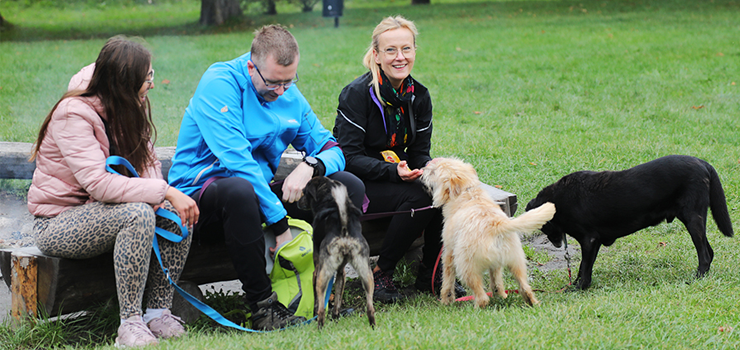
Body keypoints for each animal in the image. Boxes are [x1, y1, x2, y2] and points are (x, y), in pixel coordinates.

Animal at [298, 178, 376, 328]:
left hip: (322, 275)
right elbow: (338, 301)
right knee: (370, 307)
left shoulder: (316, 271)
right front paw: (335, 318)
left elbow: (318, 301)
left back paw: (319, 327)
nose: (298, 202)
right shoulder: (341, 272)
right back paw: (373, 327)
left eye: (304, 191)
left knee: (321, 309)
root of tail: (344, 229)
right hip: (366, 272)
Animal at [422, 159, 556, 308]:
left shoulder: (448, 253)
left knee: (482, 297)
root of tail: (497, 225)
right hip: (516, 262)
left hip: (466, 266)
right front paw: (500, 294)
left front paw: (446, 301)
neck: (467, 192)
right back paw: (529, 301)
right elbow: (496, 280)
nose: (424, 168)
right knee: (525, 287)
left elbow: (447, 281)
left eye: (434, 172)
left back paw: (476, 308)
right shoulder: (495, 264)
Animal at [528, 156, 736, 290]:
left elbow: (584, 266)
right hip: (692, 219)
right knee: (709, 251)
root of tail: (703, 163)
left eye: (543, 226)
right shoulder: (594, 242)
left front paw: (579, 288)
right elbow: (585, 267)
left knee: (705, 254)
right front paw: (580, 284)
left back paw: (697, 277)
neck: (559, 202)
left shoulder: (589, 240)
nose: (555, 243)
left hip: (693, 218)